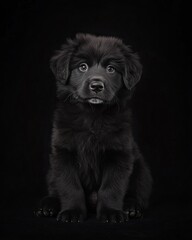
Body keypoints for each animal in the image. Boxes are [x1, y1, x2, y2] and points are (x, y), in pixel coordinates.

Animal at [34, 33, 152, 223]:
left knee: (137, 192)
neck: (93, 115)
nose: (96, 86)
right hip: (51, 172)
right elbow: (69, 186)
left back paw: (131, 208)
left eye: (111, 69)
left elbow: (111, 187)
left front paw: (111, 212)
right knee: (54, 190)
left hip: (141, 170)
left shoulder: (119, 154)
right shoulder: (63, 153)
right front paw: (72, 212)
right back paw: (47, 206)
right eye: (83, 66)